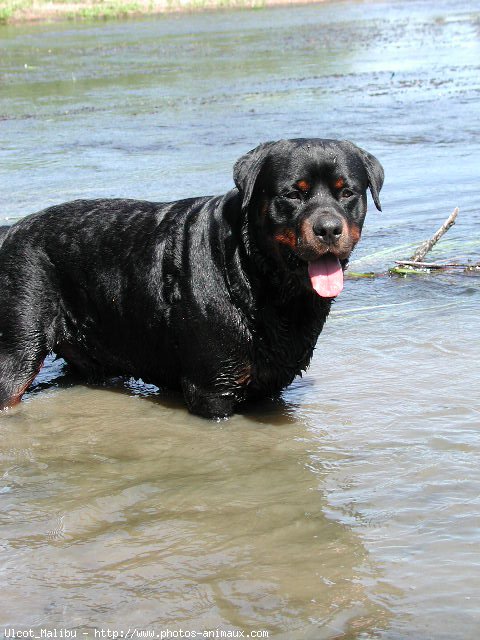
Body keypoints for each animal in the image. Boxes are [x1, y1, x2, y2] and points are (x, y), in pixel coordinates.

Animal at [0, 139, 382, 420]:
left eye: (347, 192)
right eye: (293, 194)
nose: (328, 228)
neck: (254, 274)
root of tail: (13, 230)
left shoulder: (270, 386)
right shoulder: (212, 390)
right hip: (18, 349)